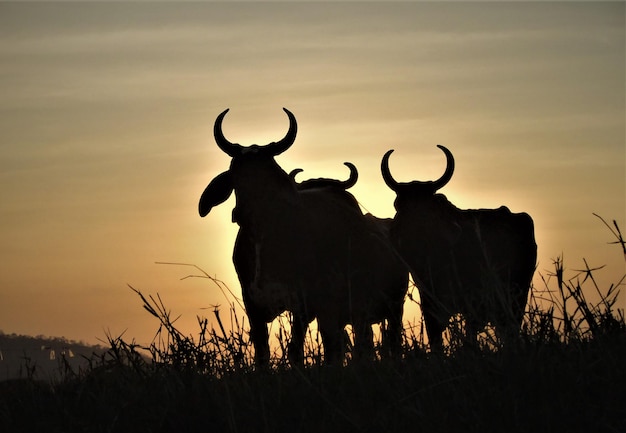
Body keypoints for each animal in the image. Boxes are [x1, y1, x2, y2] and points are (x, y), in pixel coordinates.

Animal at [197, 109, 408, 364]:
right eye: (236, 176)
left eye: (265, 176)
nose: (240, 213)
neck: (264, 239)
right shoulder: (254, 306)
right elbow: (262, 353)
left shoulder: (304, 306)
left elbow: (295, 350)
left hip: (385, 309)